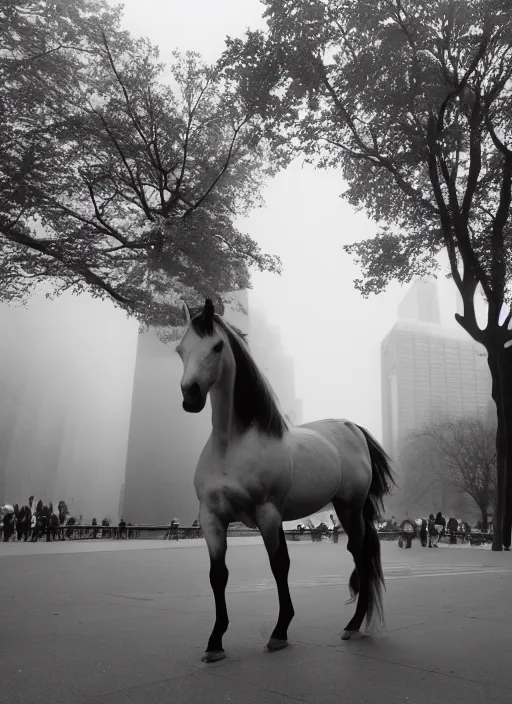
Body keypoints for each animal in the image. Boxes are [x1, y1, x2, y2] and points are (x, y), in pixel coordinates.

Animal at [176, 300, 396, 664]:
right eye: (180, 349)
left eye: (217, 346)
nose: (190, 397)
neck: (232, 444)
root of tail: (352, 427)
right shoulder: (211, 518)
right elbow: (218, 575)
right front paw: (215, 641)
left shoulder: (268, 513)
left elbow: (279, 565)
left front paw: (280, 632)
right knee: (358, 553)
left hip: (350, 507)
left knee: (361, 555)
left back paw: (353, 625)